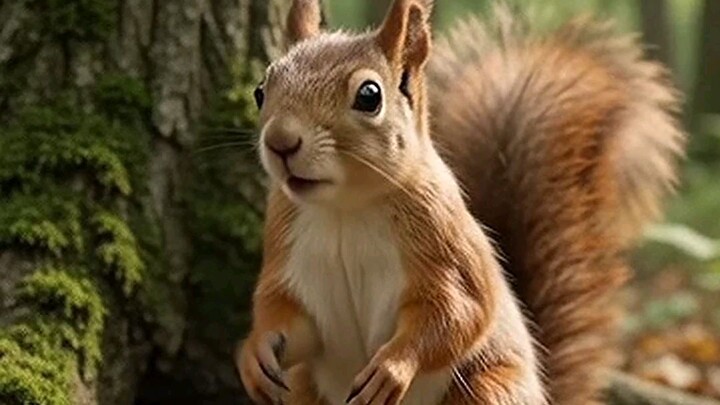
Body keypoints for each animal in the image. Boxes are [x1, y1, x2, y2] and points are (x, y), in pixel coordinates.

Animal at [235, 1, 686, 404]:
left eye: (369, 96)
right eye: (259, 91)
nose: (280, 142)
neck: (344, 209)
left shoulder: (443, 239)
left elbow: (459, 313)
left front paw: (393, 367)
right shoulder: (284, 240)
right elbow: (285, 313)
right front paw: (254, 353)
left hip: (491, 390)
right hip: (305, 390)